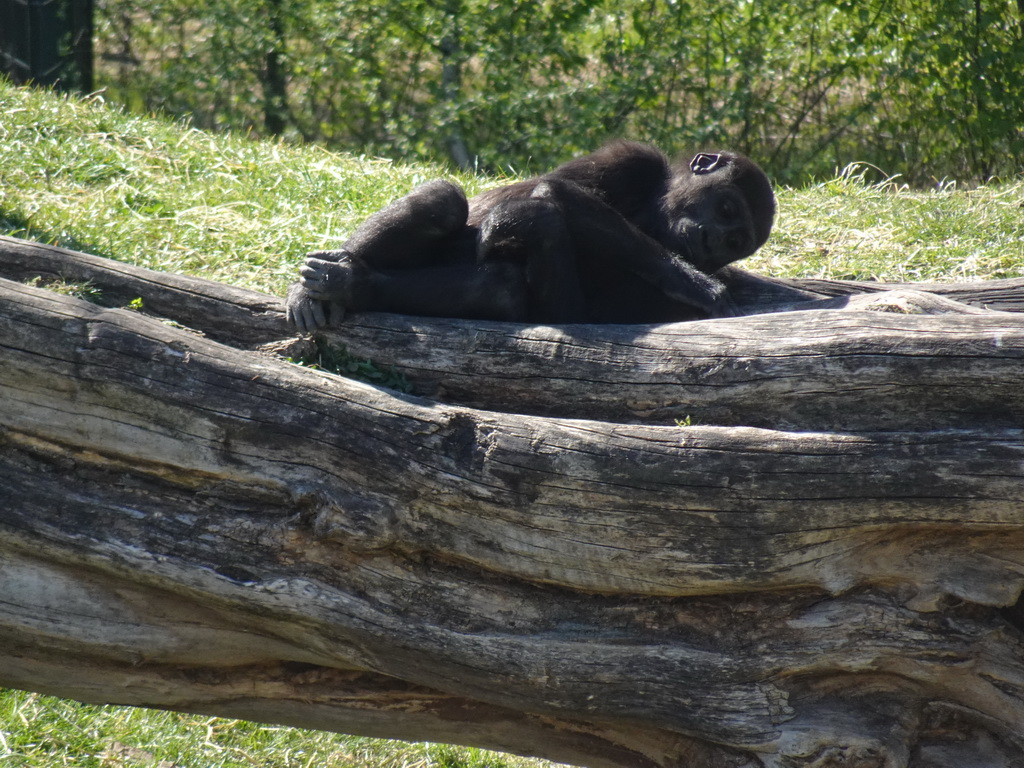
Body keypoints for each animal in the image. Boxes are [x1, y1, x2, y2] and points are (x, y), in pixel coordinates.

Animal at [284, 140, 770, 331]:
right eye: (726, 209)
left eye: (735, 243)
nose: (711, 242)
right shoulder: (632, 160)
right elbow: (558, 190)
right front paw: (693, 280)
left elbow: (568, 311)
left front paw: (523, 222)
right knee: (444, 202)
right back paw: (318, 287)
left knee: (503, 287)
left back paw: (351, 285)